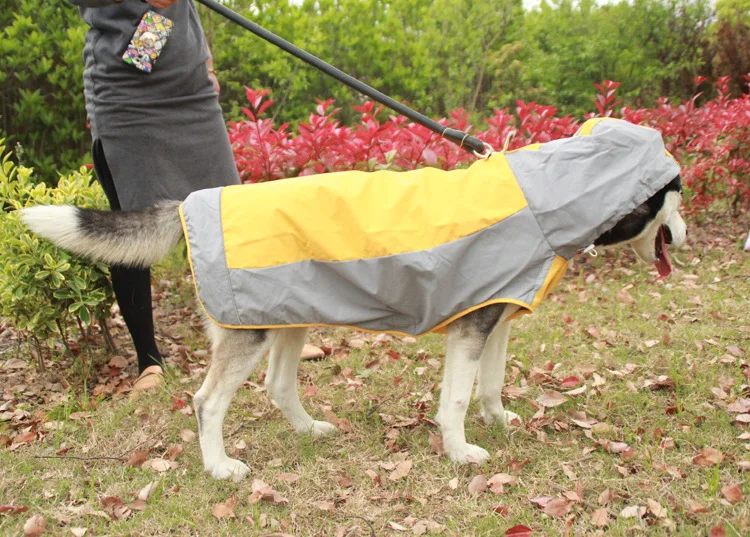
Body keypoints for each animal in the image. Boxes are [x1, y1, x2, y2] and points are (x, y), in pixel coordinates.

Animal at [20, 117, 692, 478]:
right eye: (677, 194)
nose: (684, 237)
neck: (545, 195)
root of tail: (192, 201)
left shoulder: (496, 324)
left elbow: (492, 387)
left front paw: (500, 423)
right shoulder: (469, 333)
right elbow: (455, 401)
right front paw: (460, 452)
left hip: (290, 319)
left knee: (278, 387)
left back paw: (309, 429)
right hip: (249, 332)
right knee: (207, 403)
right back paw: (219, 466)